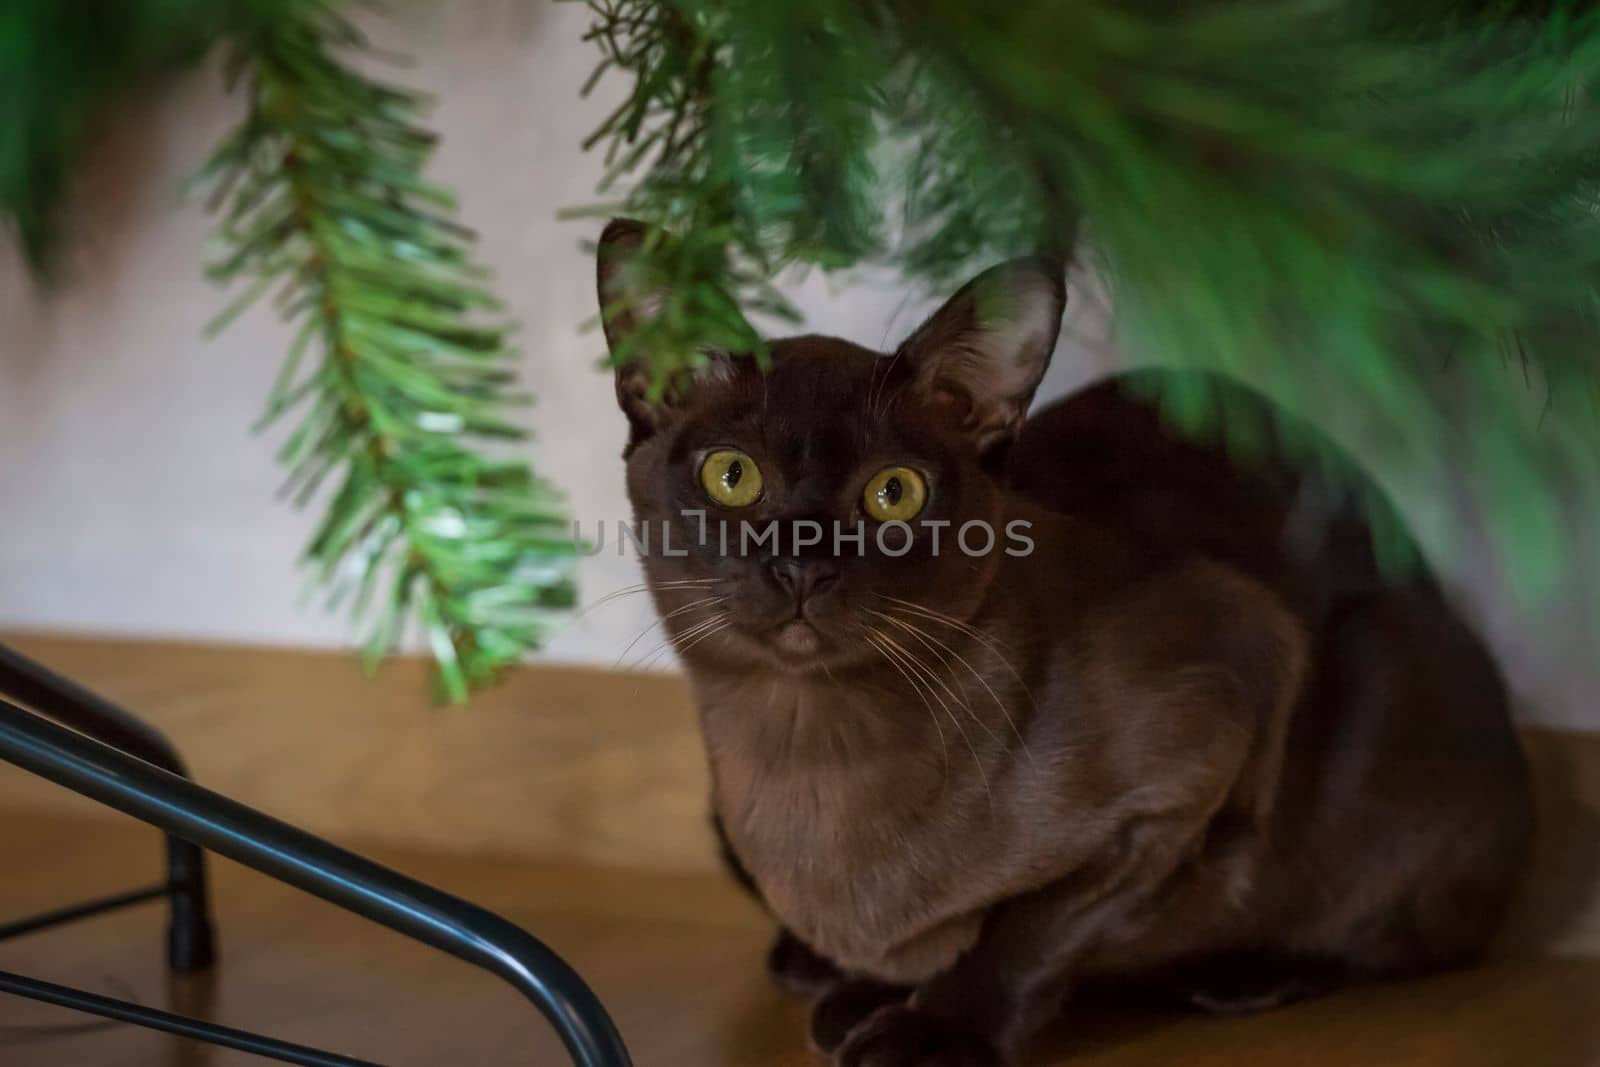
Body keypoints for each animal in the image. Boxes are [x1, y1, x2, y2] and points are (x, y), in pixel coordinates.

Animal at [595, 220, 1529, 1062]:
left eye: (894, 493)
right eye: (733, 475)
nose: (801, 564)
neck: (809, 749)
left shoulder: (1215, 720)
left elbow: (1030, 929)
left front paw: (927, 1028)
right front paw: (864, 989)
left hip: (1376, 678)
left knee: (1404, 937)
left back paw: (1236, 974)